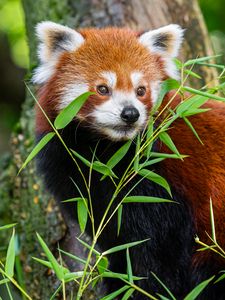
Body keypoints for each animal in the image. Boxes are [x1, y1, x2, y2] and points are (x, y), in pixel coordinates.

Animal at [33, 21, 225, 300]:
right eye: (103, 88)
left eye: (140, 90)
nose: (130, 113)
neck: (107, 155)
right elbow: (118, 244)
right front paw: (117, 282)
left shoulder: (161, 188)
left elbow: (157, 256)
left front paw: (141, 288)